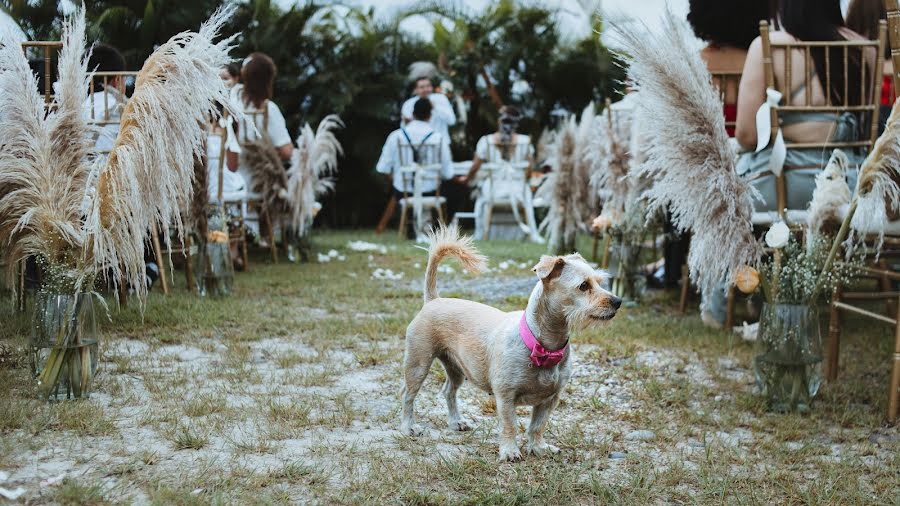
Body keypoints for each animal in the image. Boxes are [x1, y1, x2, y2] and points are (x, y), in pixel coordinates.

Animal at [400, 227, 620, 460]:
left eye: (600, 281)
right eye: (583, 286)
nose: (618, 301)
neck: (543, 346)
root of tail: (434, 300)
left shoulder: (550, 400)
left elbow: (537, 426)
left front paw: (539, 448)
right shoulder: (505, 397)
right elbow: (509, 425)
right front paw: (510, 451)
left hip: (456, 368)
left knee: (449, 391)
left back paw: (455, 421)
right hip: (418, 363)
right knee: (408, 395)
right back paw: (408, 427)